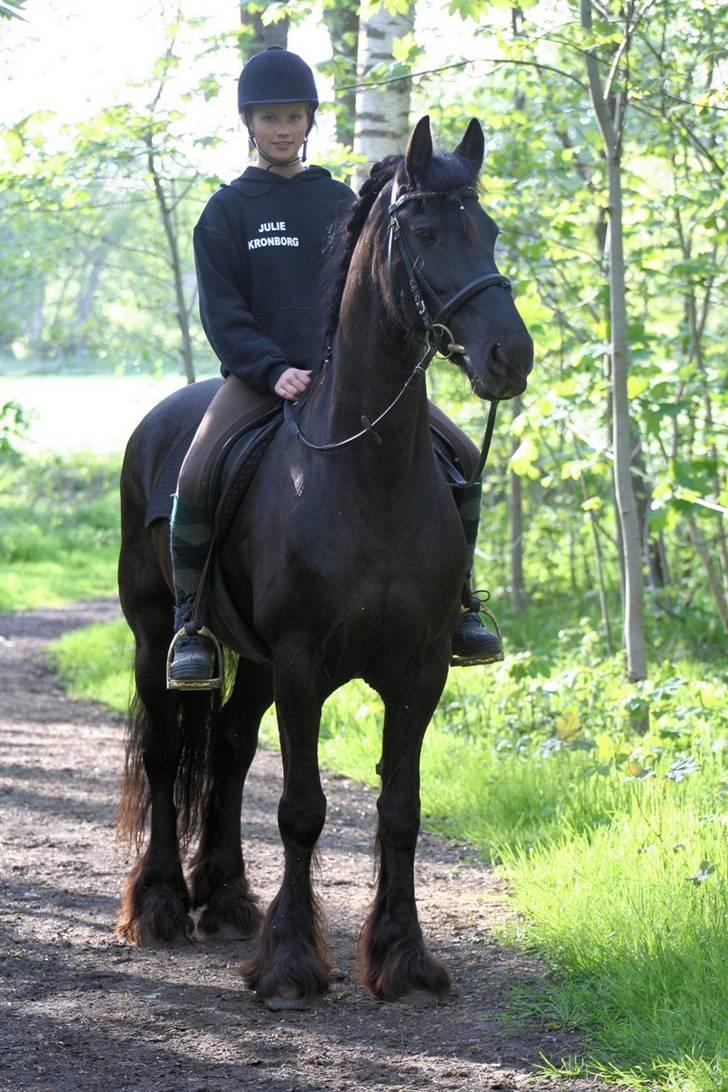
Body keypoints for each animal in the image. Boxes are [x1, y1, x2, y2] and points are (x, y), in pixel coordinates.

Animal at [115, 117, 534, 1004]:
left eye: (488, 231)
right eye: (425, 233)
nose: (510, 356)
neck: (365, 473)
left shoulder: (419, 670)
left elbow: (400, 810)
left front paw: (405, 959)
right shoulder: (305, 665)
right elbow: (302, 810)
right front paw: (289, 963)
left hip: (255, 662)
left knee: (229, 751)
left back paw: (226, 900)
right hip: (153, 635)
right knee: (169, 755)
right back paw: (164, 905)